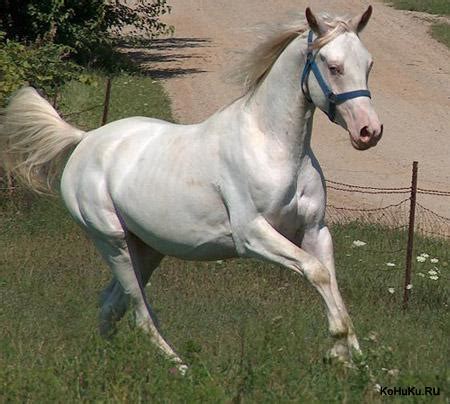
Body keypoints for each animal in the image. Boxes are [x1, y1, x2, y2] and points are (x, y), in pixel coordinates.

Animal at [2, 6, 384, 372]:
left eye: (368, 63)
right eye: (333, 66)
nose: (369, 132)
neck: (272, 148)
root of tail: (85, 140)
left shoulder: (315, 230)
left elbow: (330, 282)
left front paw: (355, 361)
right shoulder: (252, 236)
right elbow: (316, 273)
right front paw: (339, 349)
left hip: (146, 249)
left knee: (110, 304)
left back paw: (108, 362)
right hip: (113, 243)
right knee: (139, 312)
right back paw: (180, 368)